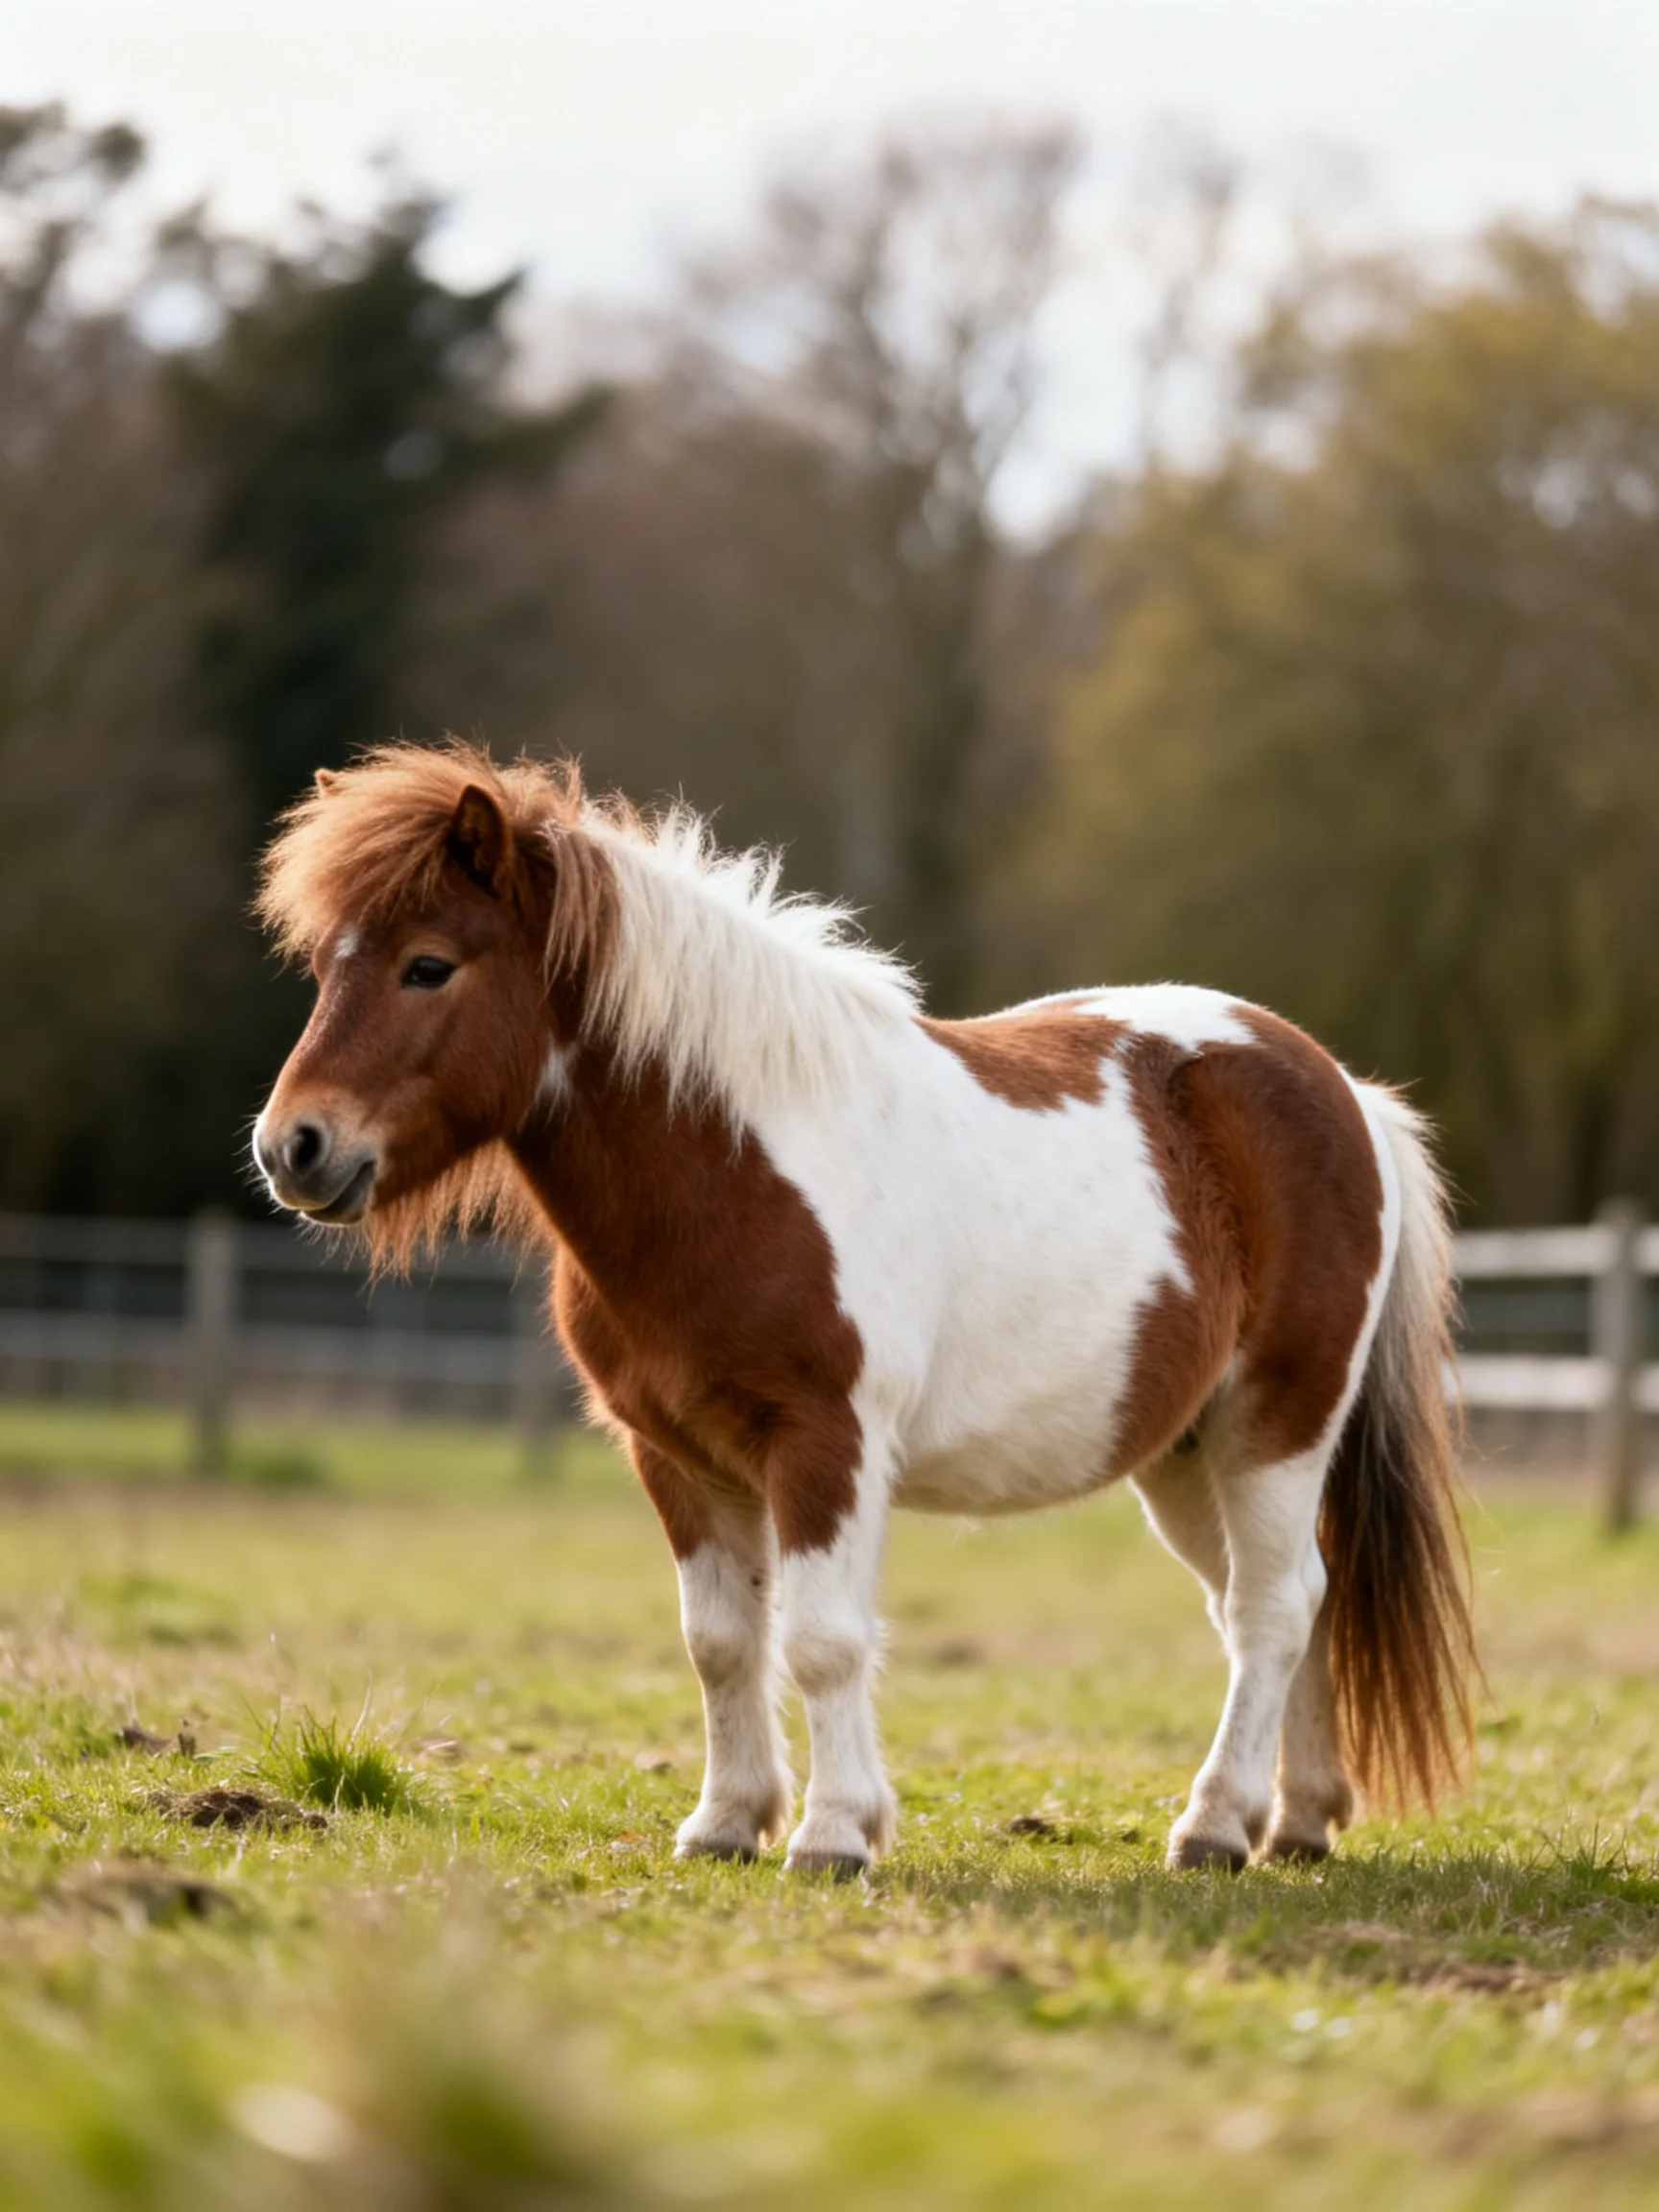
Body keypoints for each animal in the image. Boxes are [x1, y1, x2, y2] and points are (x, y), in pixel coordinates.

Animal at [252, 740, 1475, 1876]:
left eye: (428, 965)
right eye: (320, 964)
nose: (292, 1147)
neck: (732, 1166)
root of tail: (1344, 1091)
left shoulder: (823, 1444)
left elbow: (823, 1640)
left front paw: (835, 1835)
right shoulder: (677, 1457)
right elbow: (721, 1642)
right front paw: (726, 1822)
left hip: (1277, 1424)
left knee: (1276, 1605)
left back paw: (1216, 1826)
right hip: (1184, 1455)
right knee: (1279, 1605)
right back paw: (1298, 1819)